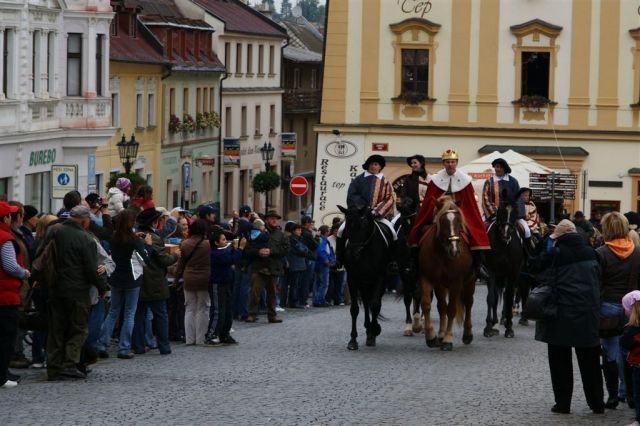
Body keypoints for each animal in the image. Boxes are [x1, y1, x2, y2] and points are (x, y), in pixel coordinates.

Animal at [338, 204, 392, 350]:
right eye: (347, 227)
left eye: (362, 226)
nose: (353, 253)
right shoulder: (353, 279)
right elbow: (355, 309)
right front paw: (353, 340)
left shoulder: (380, 277)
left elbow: (375, 304)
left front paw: (375, 330)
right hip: (364, 283)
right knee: (367, 302)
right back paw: (368, 328)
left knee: (374, 303)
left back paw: (372, 330)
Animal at [420, 196, 476, 350]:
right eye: (443, 222)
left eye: (458, 221)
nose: (455, 250)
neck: (443, 254)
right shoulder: (430, 278)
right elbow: (428, 305)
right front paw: (432, 336)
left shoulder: (456, 282)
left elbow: (451, 309)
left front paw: (448, 339)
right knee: (442, 306)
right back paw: (440, 334)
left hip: (470, 281)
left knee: (468, 303)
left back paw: (467, 334)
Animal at [484, 201, 524, 338]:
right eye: (501, 210)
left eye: (515, 212)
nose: (506, 234)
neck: (504, 245)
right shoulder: (491, 271)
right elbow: (491, 298)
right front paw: (488, 327)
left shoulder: (512, 273)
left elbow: (509, 297)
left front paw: (509, 327)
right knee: (495, 297)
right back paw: (495, 323)